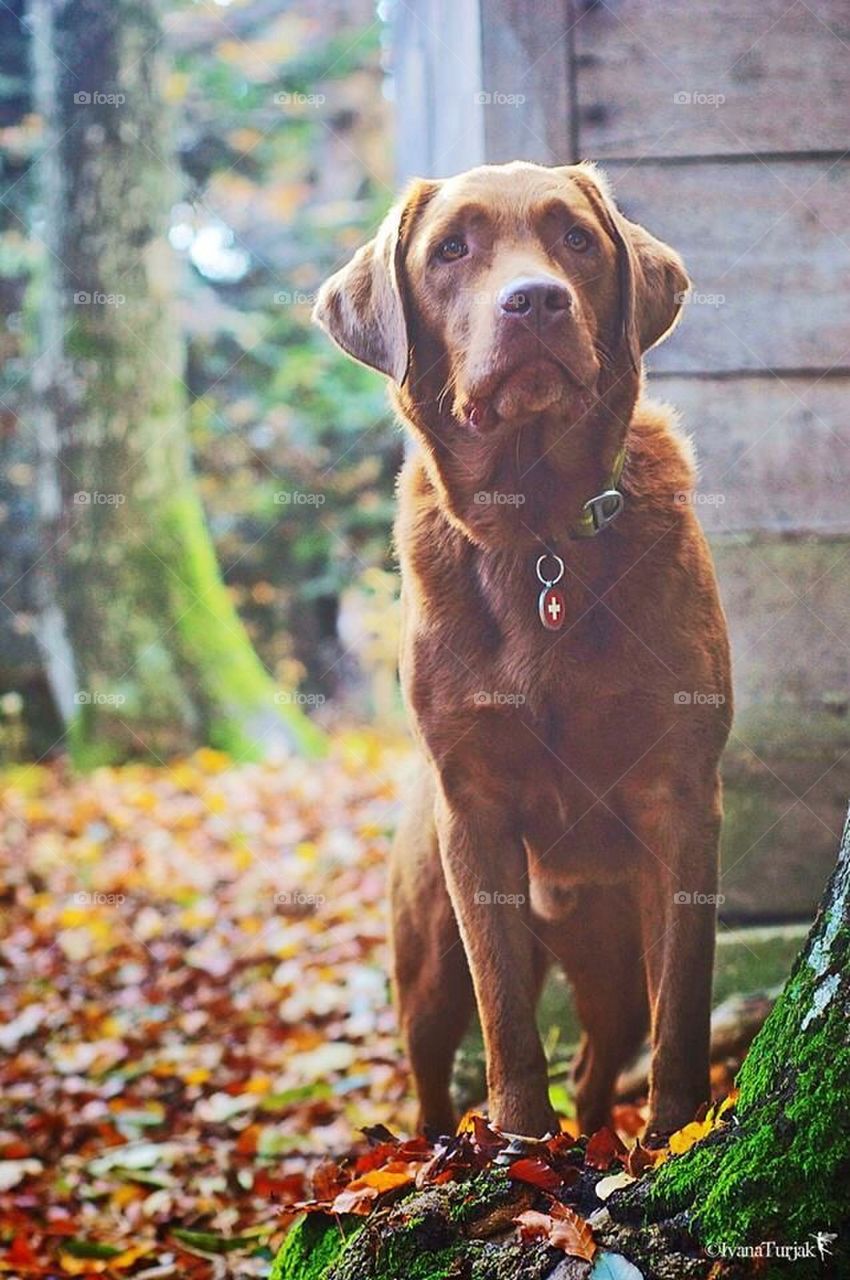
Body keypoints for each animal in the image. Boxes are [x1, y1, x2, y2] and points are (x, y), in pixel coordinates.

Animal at [314, 160, 732, 1141]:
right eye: (451, 249)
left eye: (575, 238)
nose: (535, 300)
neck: (537, 529)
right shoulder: (475, 810)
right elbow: (503, 1004)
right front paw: (517, 1140)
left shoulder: (682, 797)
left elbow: (684, 1001)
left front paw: (676, 1135)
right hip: (425, 962)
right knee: (433, 1071)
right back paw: (440, 1149)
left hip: (609, 957)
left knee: (602, 1053)